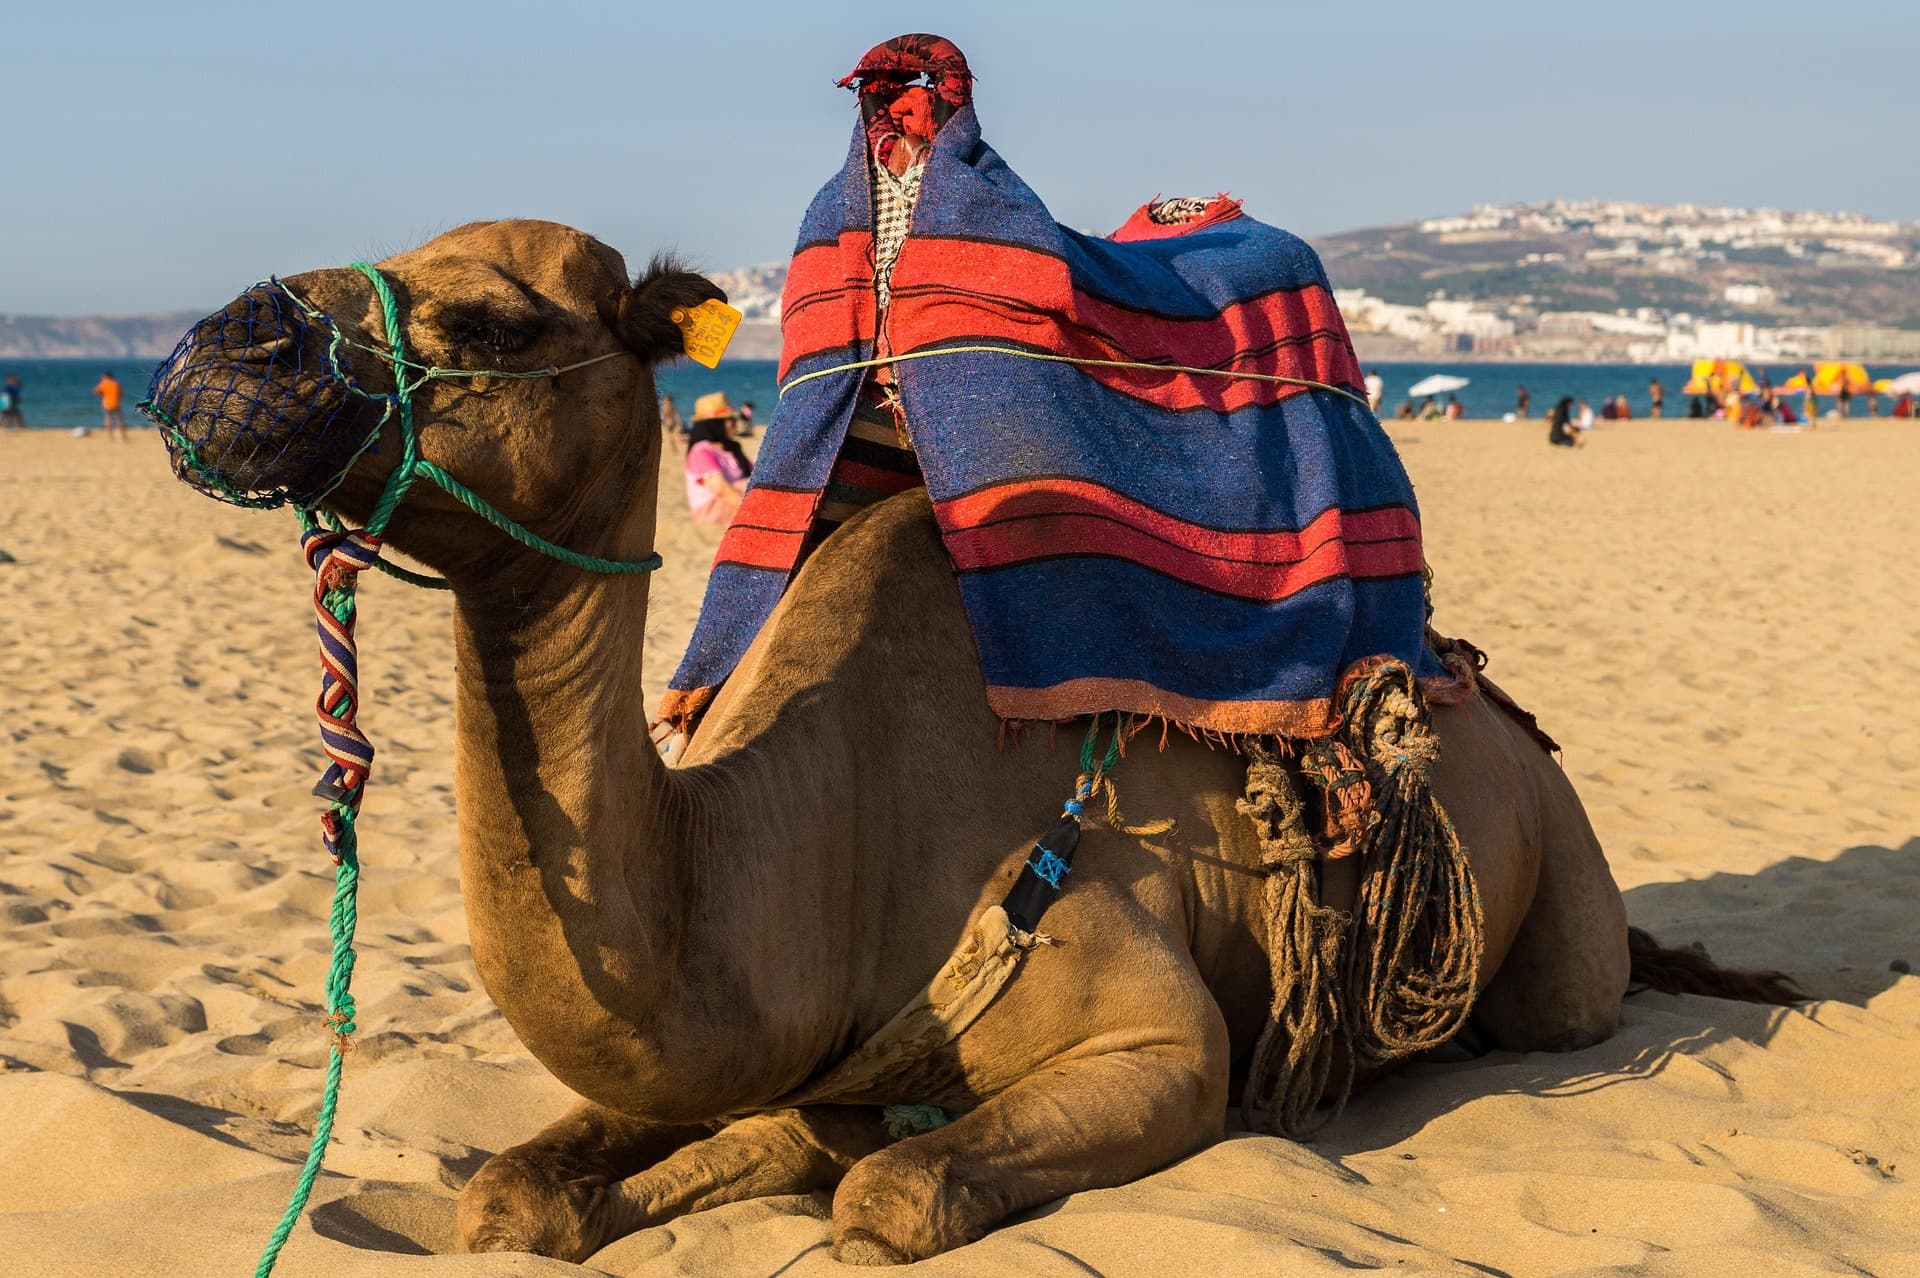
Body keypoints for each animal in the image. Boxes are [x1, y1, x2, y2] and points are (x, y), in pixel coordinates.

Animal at [157, 219, 1787, 1266]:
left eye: (492, 320)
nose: (219, 347)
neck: (822, 836)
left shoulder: (1159, 1036)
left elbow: (889, 1194)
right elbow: (515, 1191)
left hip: (1558, 911)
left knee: (1567, 1001)